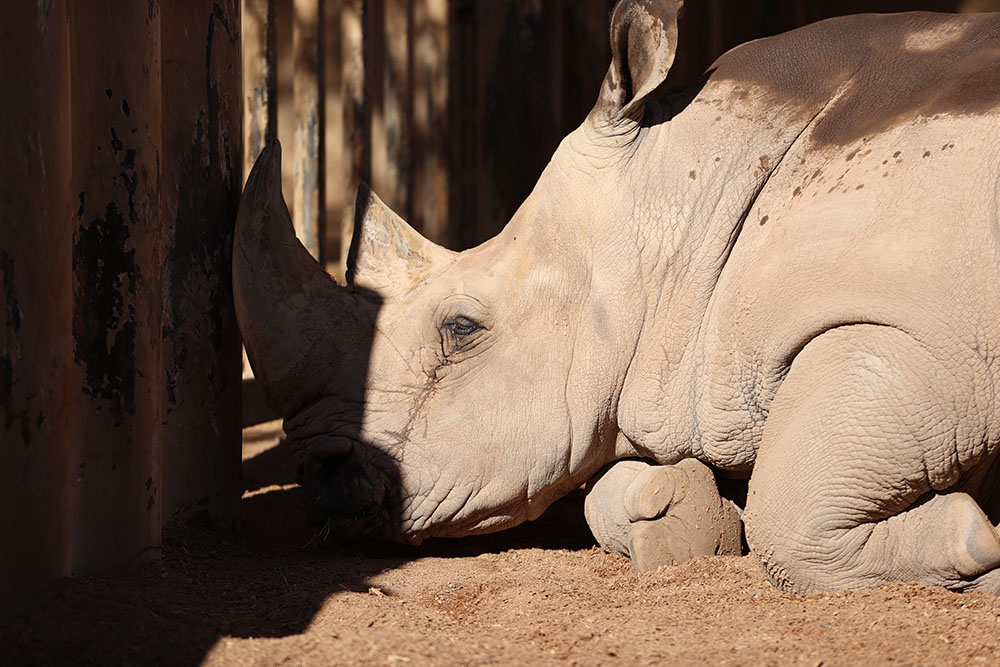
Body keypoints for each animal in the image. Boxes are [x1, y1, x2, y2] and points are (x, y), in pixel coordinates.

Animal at [236, 0, 1000, 596]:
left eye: (460, 328)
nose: (319, 479)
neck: (687, 197)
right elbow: (615, 490)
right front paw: (683, 522)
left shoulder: (924, 336)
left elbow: (788, 514)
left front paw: (980, 542)